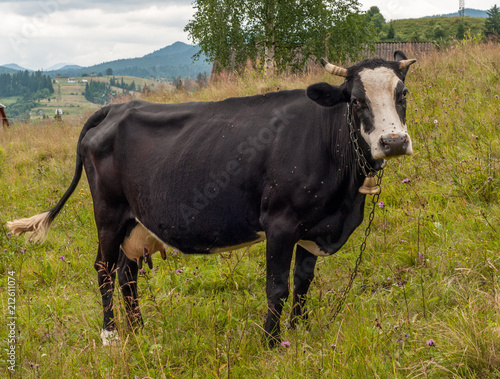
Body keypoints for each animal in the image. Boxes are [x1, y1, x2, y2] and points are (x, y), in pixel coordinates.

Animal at [6, 50, 414, 348]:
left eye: (403, 94)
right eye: (356, 100)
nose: (394, 142)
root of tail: (118, 106)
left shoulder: (315, 225)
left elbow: (302, 282)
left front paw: (297, 332)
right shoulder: (280, 222)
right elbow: (278, 287)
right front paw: (270, 342)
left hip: (135, 220)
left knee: (126, 272)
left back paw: (139, 330)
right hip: (108, 212)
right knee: (104, 268)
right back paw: (111, 335)